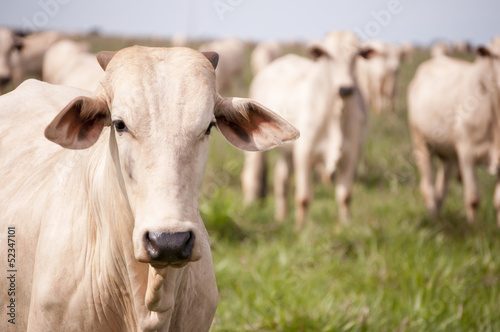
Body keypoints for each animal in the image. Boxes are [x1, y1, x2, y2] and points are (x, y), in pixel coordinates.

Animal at [408, 44, 500, 226]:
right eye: (497, 56)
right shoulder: (466, 153)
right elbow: (473, 198)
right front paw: (474, 227)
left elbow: (498, 201)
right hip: (421, 142)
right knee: (428, 187)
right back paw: (432, 217)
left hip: (448, 155)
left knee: (441, 190)